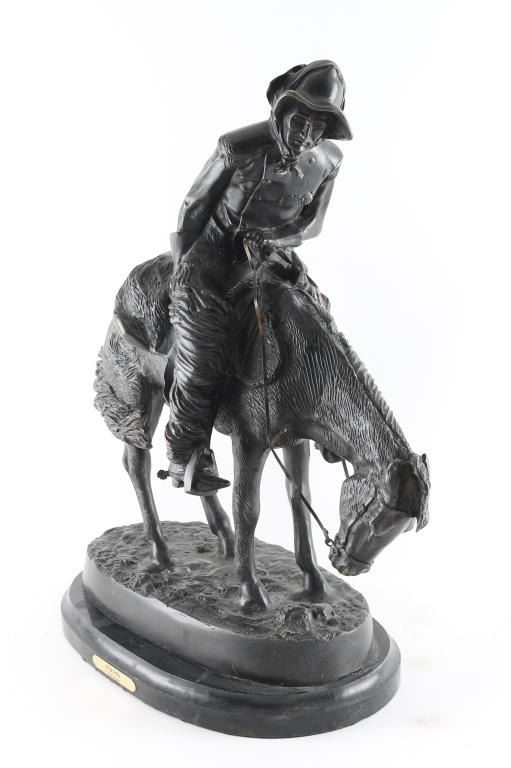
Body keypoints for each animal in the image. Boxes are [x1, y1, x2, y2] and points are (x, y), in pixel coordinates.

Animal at [94, 251, 430, 613]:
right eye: (374, 512)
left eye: (403, 528)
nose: (349, 566)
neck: (309, 360)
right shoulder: (250, 441)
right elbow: (247, 509)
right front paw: (251, 593)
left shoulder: (296, 440)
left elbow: (299, 500)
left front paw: (315, 583)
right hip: (142, 396)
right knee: (136, 463)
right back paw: (161, 552)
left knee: (192, 461)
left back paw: (223, 540)